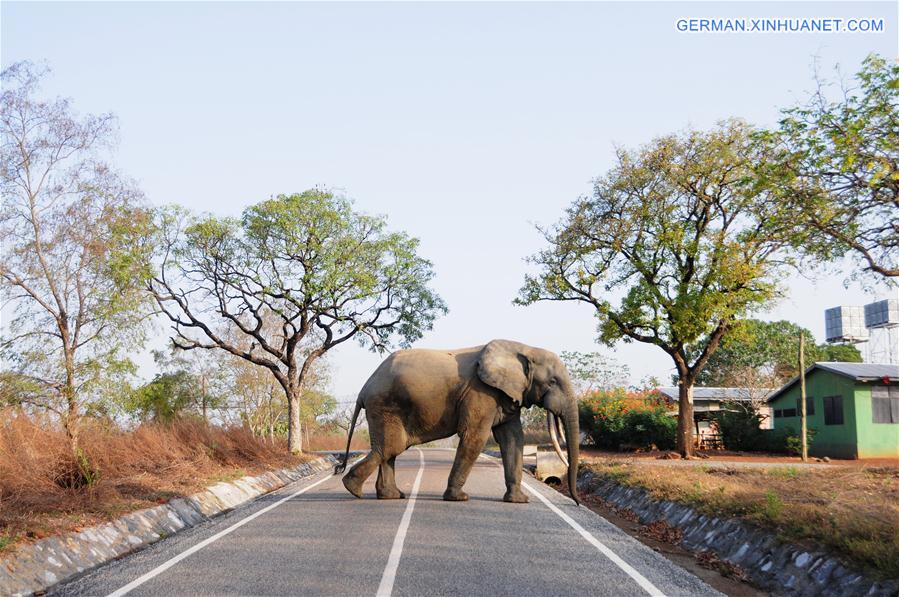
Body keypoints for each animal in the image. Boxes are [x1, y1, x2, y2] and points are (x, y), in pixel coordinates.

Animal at [334, 340, 580, 502]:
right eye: (552, 381)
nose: (577, 502)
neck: (523, 347)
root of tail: (364, 389)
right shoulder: (481, 393)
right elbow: (475, 437)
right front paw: (459, 498)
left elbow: (512, 439)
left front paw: (519, 500)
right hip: (385, 406)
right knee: (390, 447)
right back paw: (354, 489)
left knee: (390, 450)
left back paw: (390, 496)